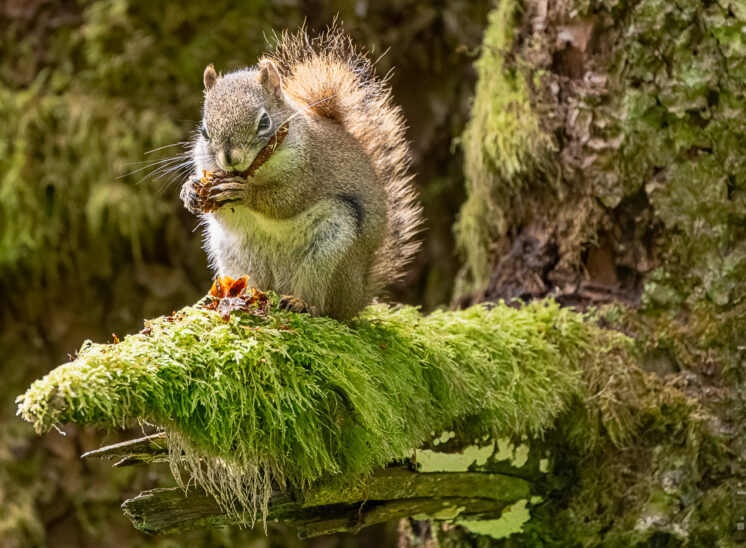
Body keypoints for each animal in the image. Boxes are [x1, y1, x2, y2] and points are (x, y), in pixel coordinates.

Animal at [180, 28, 422, 322]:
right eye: (204, 131)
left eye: (264, 122)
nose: (230, 160)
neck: (254, 171)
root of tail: (357, 298)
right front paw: (190, 191)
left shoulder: (310, 170)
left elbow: (286, 200)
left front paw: (245, 193)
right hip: (237, 255)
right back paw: (237, 297)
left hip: (331, 251)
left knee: (322, 304)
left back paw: (302, 303)